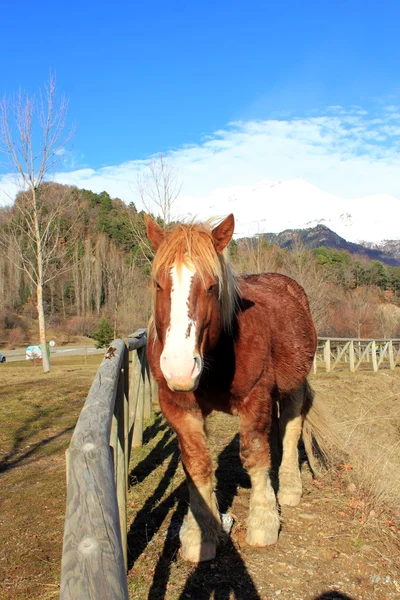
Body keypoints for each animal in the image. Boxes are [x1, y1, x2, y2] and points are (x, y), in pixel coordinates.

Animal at [145, 214, 318, 564]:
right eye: (158, 284)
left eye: (212, 286)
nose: (180, 367)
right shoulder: (180, 408)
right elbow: (197, 464)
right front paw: (200, 534)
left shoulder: (256, 397)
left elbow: (254, 454)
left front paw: (263, 521)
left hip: (293, 386)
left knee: (291, 429)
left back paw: (289, 488)